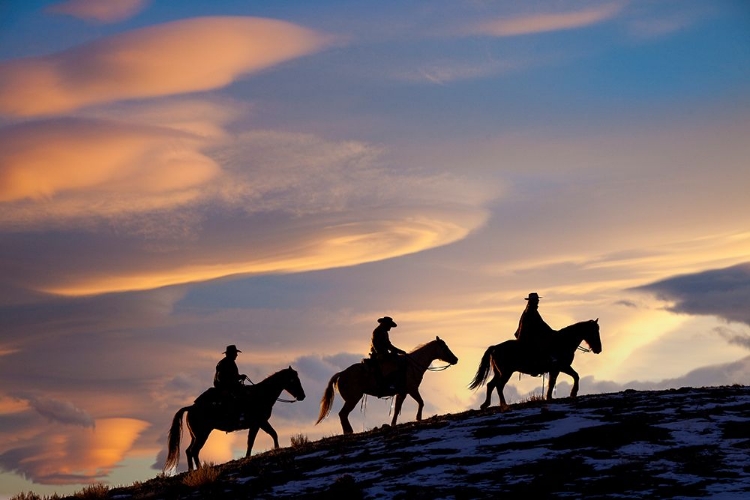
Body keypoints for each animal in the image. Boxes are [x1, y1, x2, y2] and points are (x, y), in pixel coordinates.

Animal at [164, 366, 306, 470]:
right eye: (294, 380)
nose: (302, 396)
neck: (260, 395)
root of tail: (191, 407)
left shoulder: (261, 423)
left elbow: (271, 434)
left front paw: (275, 449)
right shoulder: (258, 423)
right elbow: (252, 441)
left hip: (195, 435)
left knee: (189, 451)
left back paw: (191, 470)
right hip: (202, 435)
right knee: (194, 451)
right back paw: (200, 469)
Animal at [316, 336, 458, 434]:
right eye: (444, 347)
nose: (455, 359)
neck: (412, 365)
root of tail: (342, 373)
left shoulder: (402, 393)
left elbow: (396, 409)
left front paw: (393, 423)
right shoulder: (412, 389)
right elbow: (421, 402)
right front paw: (418, 418)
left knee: (343, 415)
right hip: (353, 399)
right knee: (343, 414)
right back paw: (349, 431)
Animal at [472, 320, 604, 410]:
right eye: (594, 332)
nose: (598, 349)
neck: (563, 342)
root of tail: (495, 347)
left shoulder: (556, 369)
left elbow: (553, 383)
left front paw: (549, 397)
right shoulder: (562, 367)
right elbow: (575, 376)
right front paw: (573, 393)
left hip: (499, 373)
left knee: (491, 385)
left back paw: (486, 404)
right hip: (506, 373)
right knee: (499, 386)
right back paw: (503, 404)